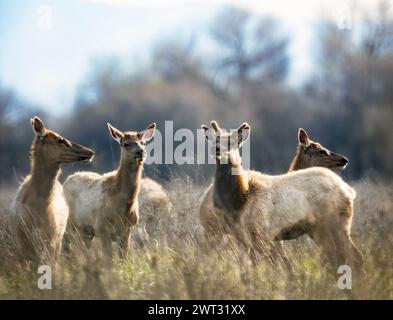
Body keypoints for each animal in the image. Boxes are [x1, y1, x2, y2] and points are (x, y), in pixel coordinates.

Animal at [62, 122, 155, 258]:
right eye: (125, 144)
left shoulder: (127, 230)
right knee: (65, 247)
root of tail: (67, 180)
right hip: (68, 222)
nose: (140, 152)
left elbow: (123, 257)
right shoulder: (103, 228)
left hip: (86, 231)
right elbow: (108, 259)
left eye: (143, 143)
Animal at [199, 121, 362, 274]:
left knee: (353, 255)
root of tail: (349, 191)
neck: (241, 198)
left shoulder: (263, 233)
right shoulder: (246, 236)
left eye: (232, 142)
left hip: (335, 224)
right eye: (214, 141)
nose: (344, 160)